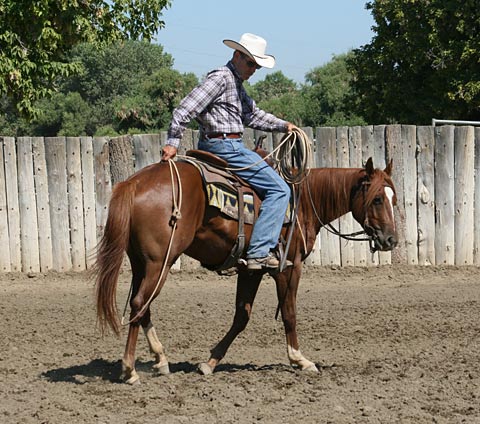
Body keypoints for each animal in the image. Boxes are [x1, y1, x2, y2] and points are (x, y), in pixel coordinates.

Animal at [94, 156, 398, 384]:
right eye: (377, 199)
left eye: (393, 199)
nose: (391, 240)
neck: (302, 204)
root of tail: (133, 182)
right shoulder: (289, 267)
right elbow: (289, 313)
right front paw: (300, 359)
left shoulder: (251, 270)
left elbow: (242, 316)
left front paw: (210, 362)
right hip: (160, 262)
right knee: (139, 304)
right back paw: (130, 369)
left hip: (142, 264)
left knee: (142, 306)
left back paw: (160, 359)